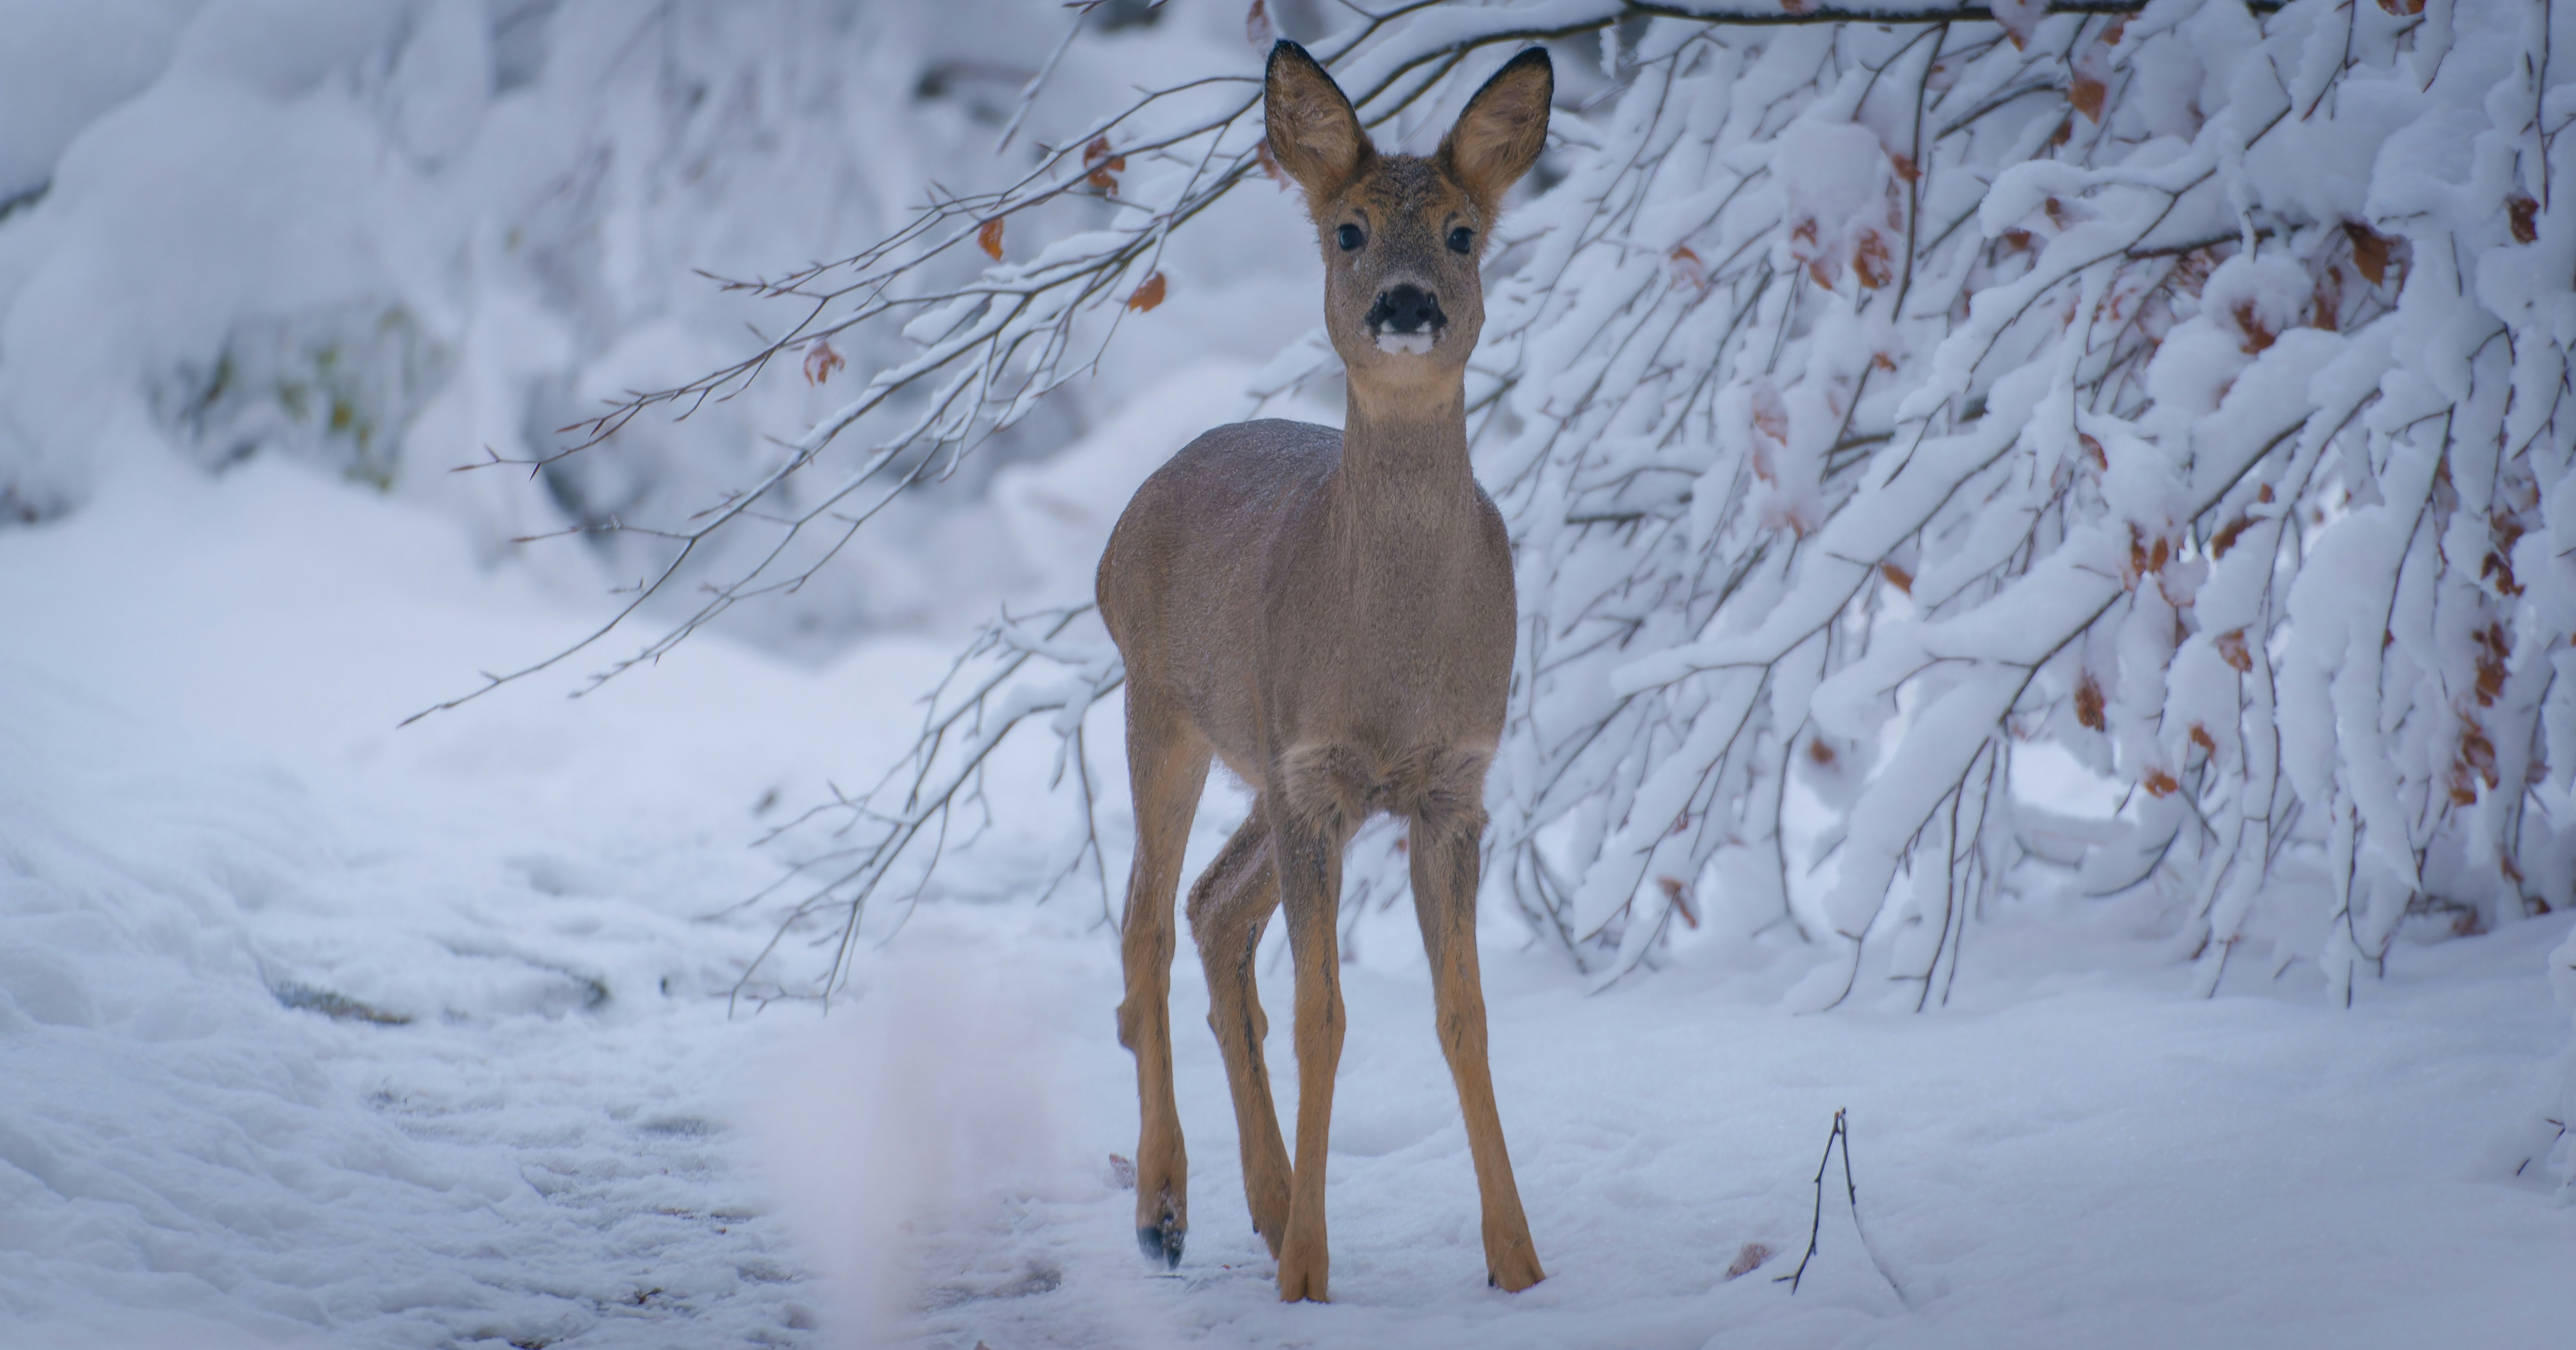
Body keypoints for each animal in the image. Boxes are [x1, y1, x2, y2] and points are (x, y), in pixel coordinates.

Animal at [1093, 39, 1553, 1304]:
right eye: (1348, 230)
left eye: (1461, 233)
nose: (1406, 305)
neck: (1393, 649)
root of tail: (1128, 518)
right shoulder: (1315, 770)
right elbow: (1322, 1017)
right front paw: (1309, 1274)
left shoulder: (1448, 782)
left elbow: (1464, 1014)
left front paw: (1519, 1264)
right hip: (1165, 709)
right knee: (1145, 922)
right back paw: (1165, 1209)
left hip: (1265, 762)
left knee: (1209, 908)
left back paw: (1260, 1199)